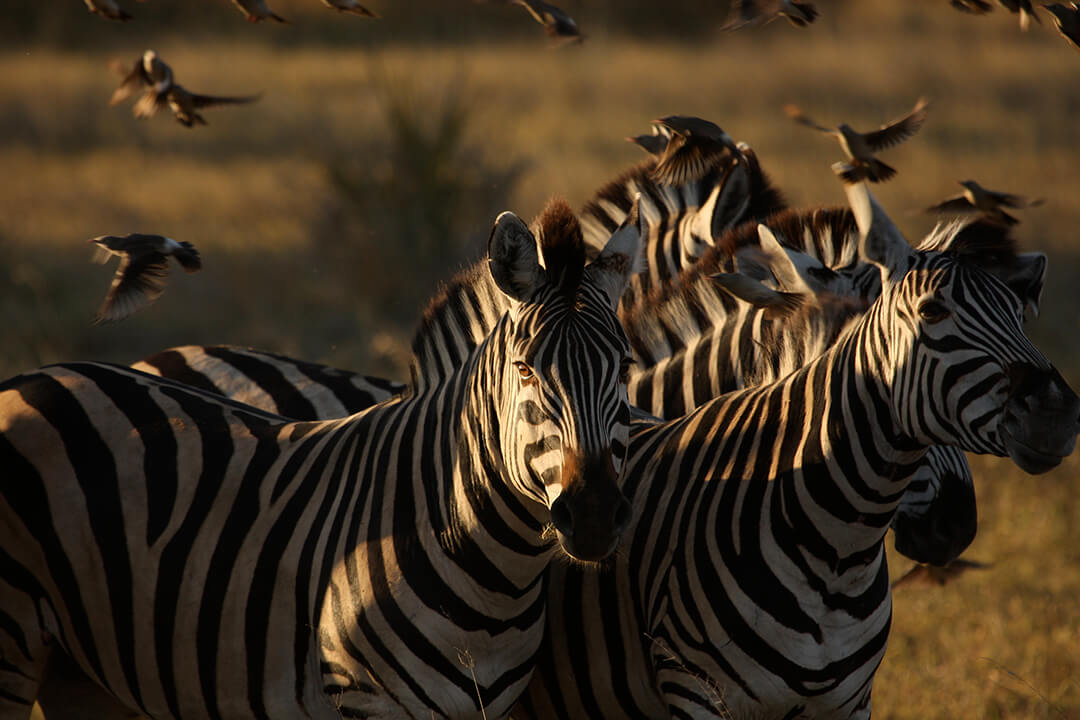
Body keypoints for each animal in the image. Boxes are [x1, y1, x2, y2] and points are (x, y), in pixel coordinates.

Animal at [0, 197, 639, 720]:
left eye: (626, 368)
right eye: (525, 370)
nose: (594, 516)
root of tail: (31, 376)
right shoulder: (364, 701)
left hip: (79, 670)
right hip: (14, 641)